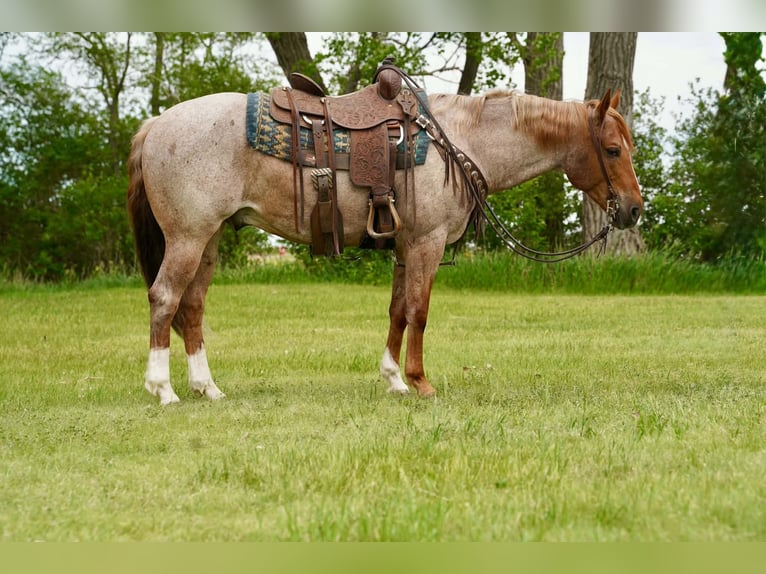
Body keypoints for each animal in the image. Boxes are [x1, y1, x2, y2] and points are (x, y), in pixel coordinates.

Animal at [127, 82, 643, 405]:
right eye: (613, 149)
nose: (635, 209)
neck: (459, 141)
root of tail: (156, 125)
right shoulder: (427, 243)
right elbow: (419, 311)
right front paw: (420, 382)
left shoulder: (404, 245)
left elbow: (397, 310)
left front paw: (394, 380)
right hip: (188, 237)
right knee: (165, 298)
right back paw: (162, 389)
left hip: (209, 239)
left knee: (192, 306)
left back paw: (207, 388)